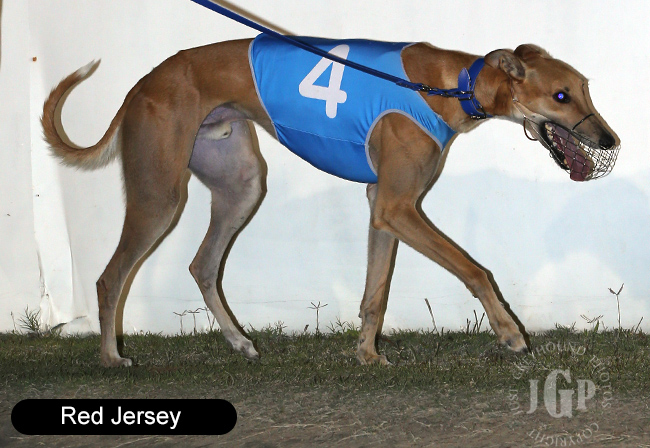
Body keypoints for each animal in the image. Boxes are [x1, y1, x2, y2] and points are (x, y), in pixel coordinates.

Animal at [42, 35, 619, 367]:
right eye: (561, 96)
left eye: (586, 88)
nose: (610, 140)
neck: (453, 85)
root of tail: (141, 86)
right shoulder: (398, 206)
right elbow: (476, 270)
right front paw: (510, 333)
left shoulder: (384, 208)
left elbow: (375, 295)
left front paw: (367, 355)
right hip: (160, 195)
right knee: (110, 278)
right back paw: (112, 358)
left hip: (242, 185)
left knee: (202, 265)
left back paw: (240, 342)